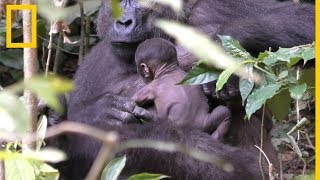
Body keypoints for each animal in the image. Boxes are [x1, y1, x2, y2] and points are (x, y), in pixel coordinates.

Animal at [55, 0, 316, 179]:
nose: (124, 22)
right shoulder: (94, 65)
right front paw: (102, 110)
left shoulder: (218, 6)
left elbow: (302, 22)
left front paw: (223, 48)